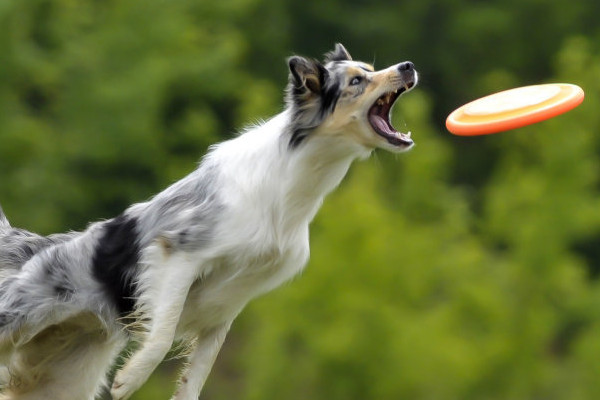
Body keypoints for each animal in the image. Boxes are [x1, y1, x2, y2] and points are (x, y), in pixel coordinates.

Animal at [0, 44, 418, 400]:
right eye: (357, 81)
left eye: (370, 69)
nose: (408, 66)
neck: (285, 186)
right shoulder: (178, 254)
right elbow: (163, 333)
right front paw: (130, 379)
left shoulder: (229, 303)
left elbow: (197, 373)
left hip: (63, 380)